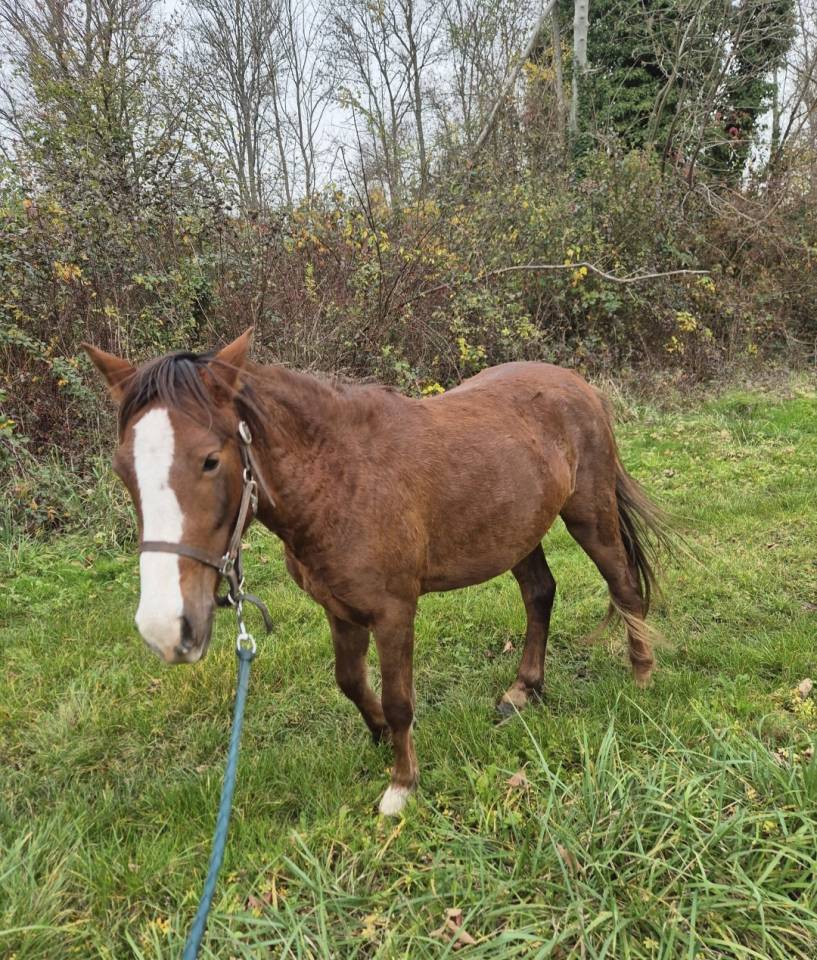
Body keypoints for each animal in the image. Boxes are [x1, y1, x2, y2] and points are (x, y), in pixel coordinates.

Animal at [84, 329, 670, 816]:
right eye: (122, 468)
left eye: (210, 460)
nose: (166, 628)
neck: (340, 479)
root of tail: (578, 385)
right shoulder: (339, 609)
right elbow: (350, 681)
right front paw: (381, 734)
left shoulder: (393, 612)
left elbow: (399, 698)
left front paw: (402, 784)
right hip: (516, 532)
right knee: (540, 594)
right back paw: (523, 690)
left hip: (589, 515)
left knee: (624, 587)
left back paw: (641, 677)